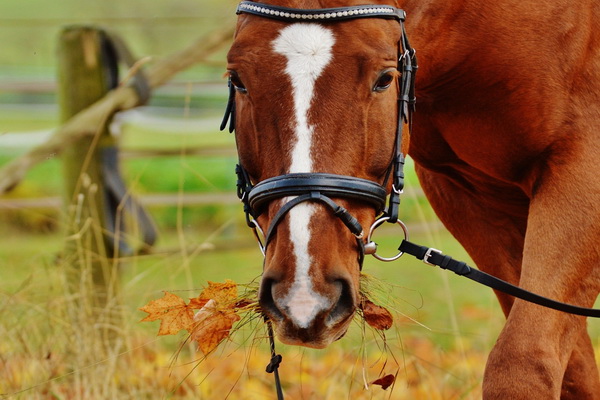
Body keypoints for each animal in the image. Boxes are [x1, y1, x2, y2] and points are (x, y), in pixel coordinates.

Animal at [224, 1, 600, 398]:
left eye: (385, 79)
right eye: (238, 79)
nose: (304, 298)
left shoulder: (583, 170)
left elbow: (524, 360)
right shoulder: (468, 195)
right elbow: (574, 371)